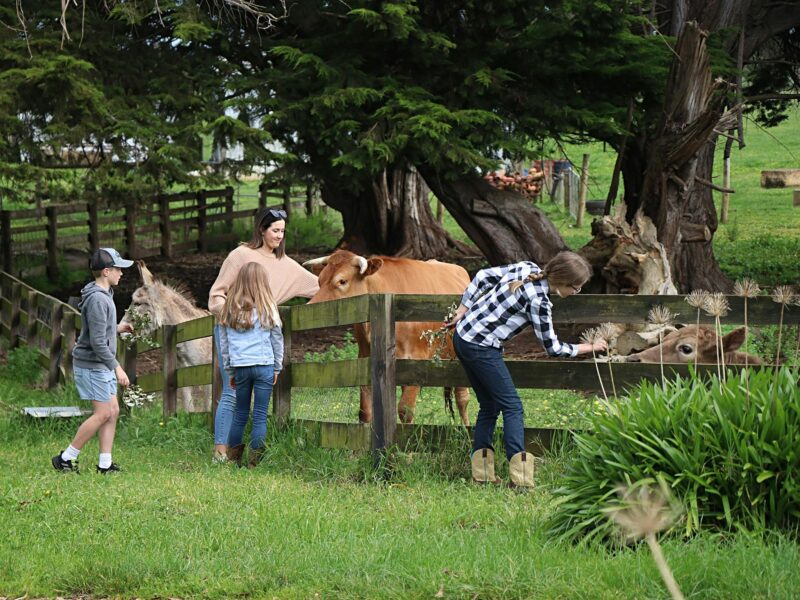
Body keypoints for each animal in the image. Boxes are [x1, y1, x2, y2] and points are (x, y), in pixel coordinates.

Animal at [304, 251, 472, 424]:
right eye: (320, 280)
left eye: (342, 281)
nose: (309, 308)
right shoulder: (366, 358)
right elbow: (365, 411)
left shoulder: (416, 360)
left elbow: (405, 411)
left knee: (462, 398)